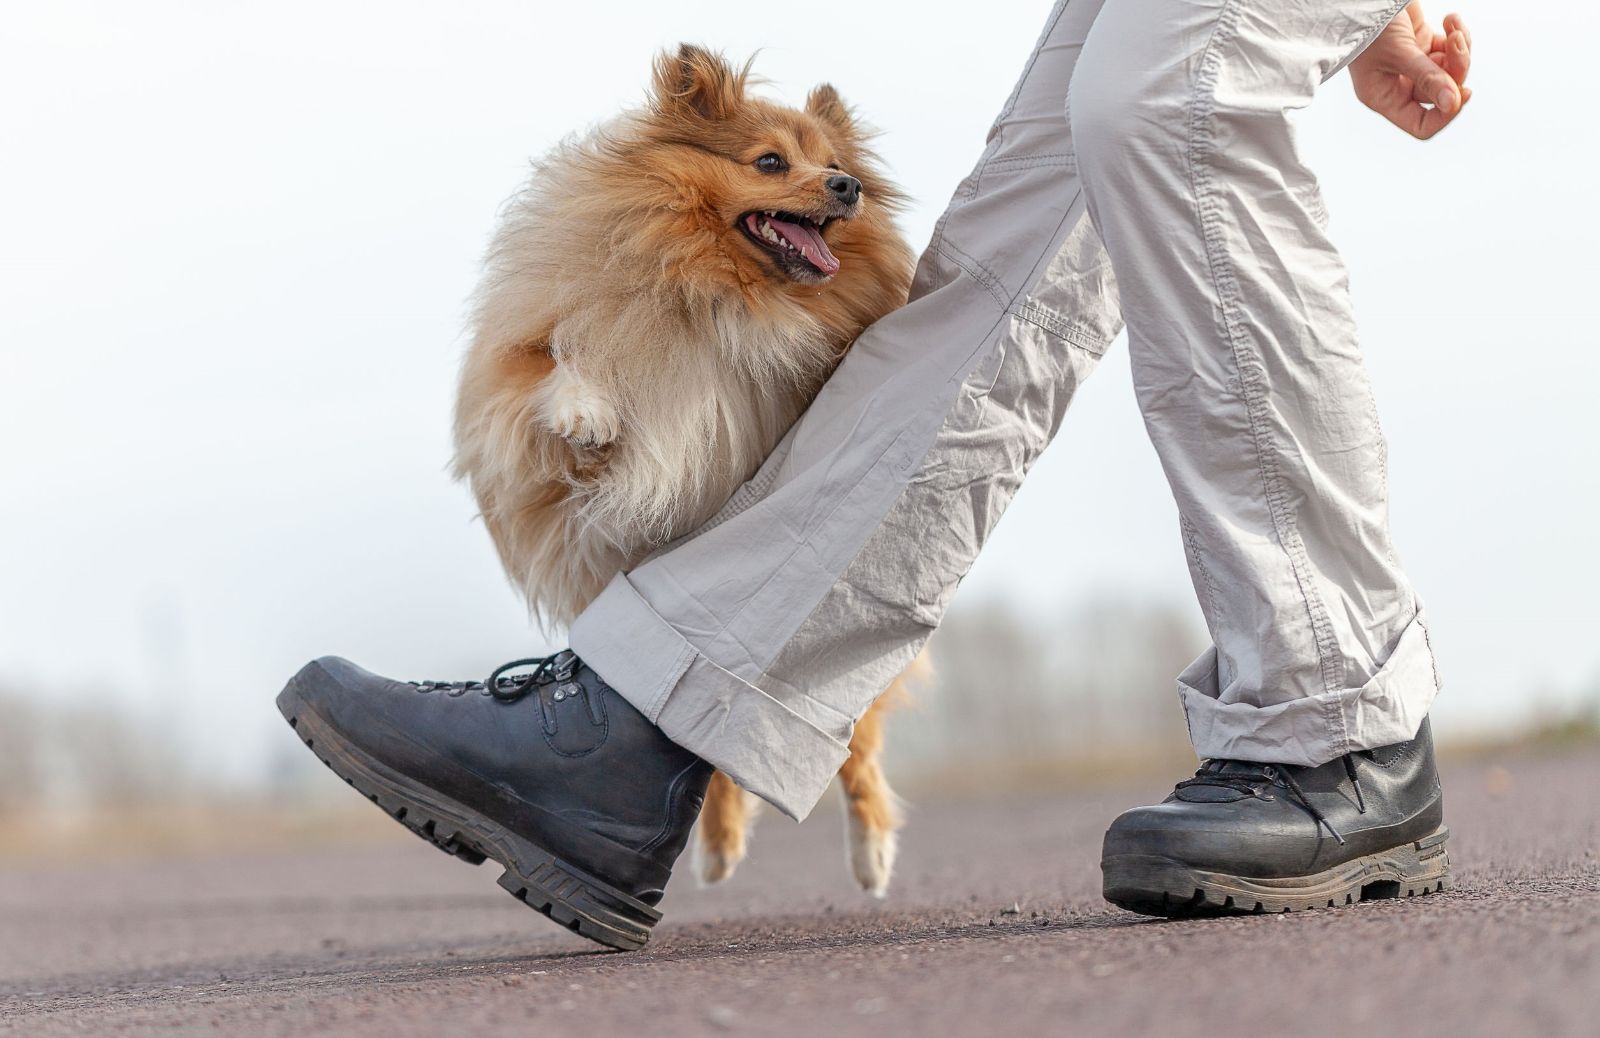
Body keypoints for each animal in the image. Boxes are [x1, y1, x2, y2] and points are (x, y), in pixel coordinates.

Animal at [457, 44, 921, 895]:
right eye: (770, 162)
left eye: (837, 165)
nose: (849, 188)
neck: (716, 289)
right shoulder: (524, 366)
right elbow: (558, 369)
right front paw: (587, 416)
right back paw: (715, 846)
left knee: (852, 750)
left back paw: (869, 855)